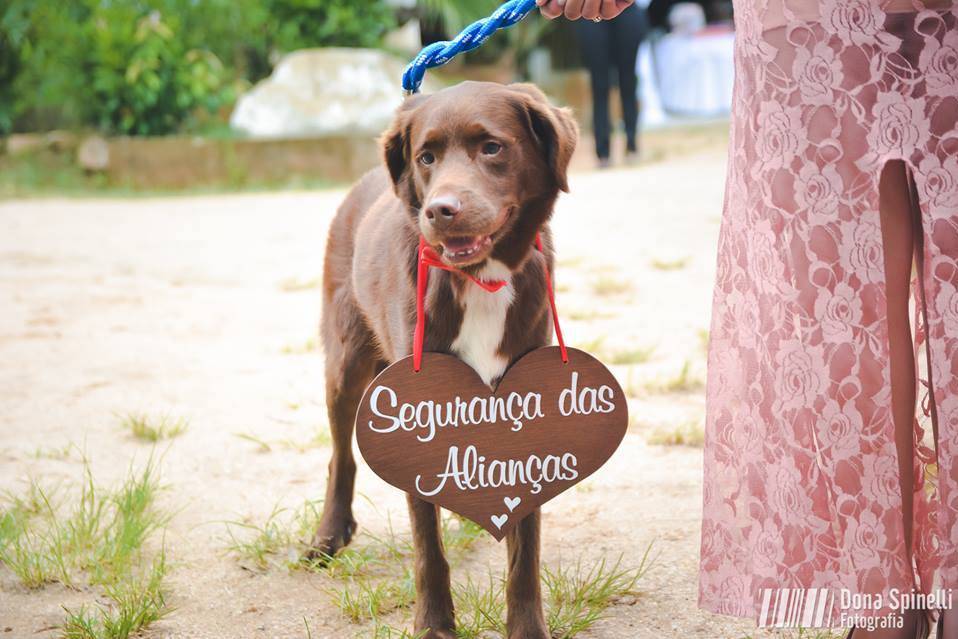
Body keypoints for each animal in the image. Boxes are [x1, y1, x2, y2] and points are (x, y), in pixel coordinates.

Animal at [316, 82, 580, 639]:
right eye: (427, 157)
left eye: (492, 147)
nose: (441, 210)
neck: (482, 278)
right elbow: (428, 548)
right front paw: (434, 625)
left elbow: (525, 549)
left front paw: (527, 628)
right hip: (345, 362)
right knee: (340, 455)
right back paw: (328, 535)